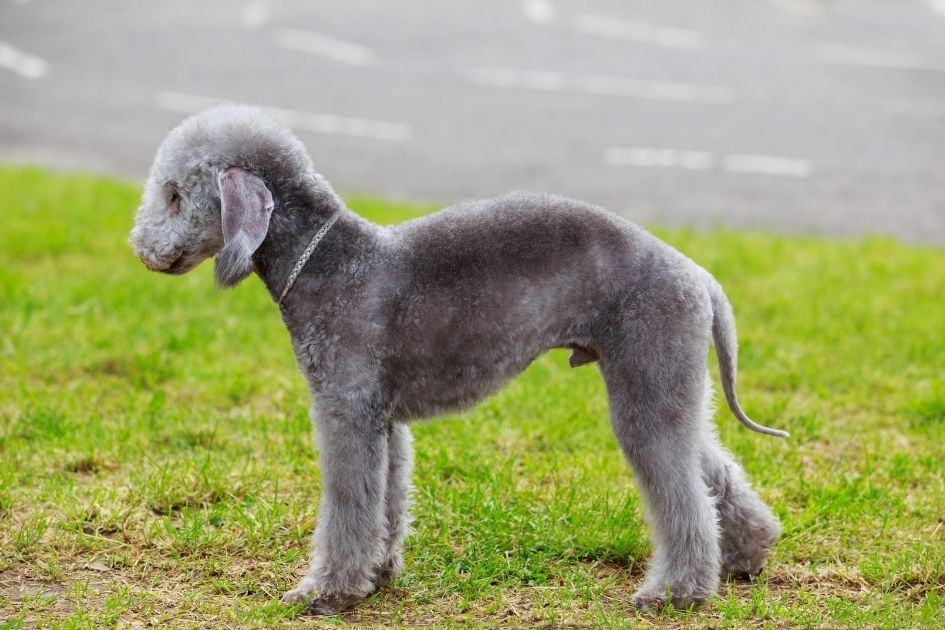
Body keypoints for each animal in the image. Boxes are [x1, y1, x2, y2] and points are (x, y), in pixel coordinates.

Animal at [129, 105, 784, 616]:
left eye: (174, 194)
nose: (139, 250)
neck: (328, 263)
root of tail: (696, 273)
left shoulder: (344, 412)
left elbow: (347, 504)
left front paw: (327, 592)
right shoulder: (383, 420)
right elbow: (386, 500)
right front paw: (378, 575)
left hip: (645, 380)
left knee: (683, 496)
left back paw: (678, 592)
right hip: (668, 382)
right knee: (711, 468)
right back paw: (748, 553)